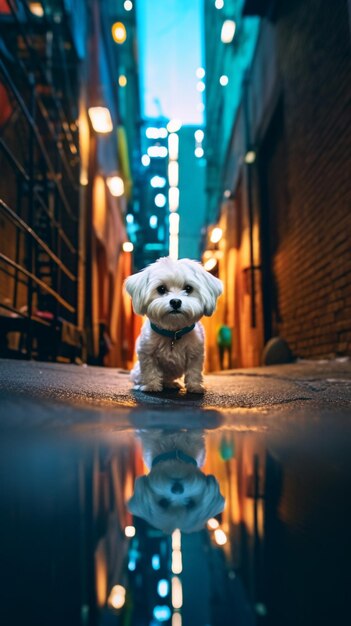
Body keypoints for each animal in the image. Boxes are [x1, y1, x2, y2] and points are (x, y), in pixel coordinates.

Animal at [124, 256, 223, 392]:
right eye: (161, 289)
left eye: (188, 288)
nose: (175, 301)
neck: (173, 333)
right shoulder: (147, 353)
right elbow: (150, 370)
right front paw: (151, 386)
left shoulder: (196, 354)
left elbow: (194, 371)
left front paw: (195, 387)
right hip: (136, 371)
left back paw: (171, 384)